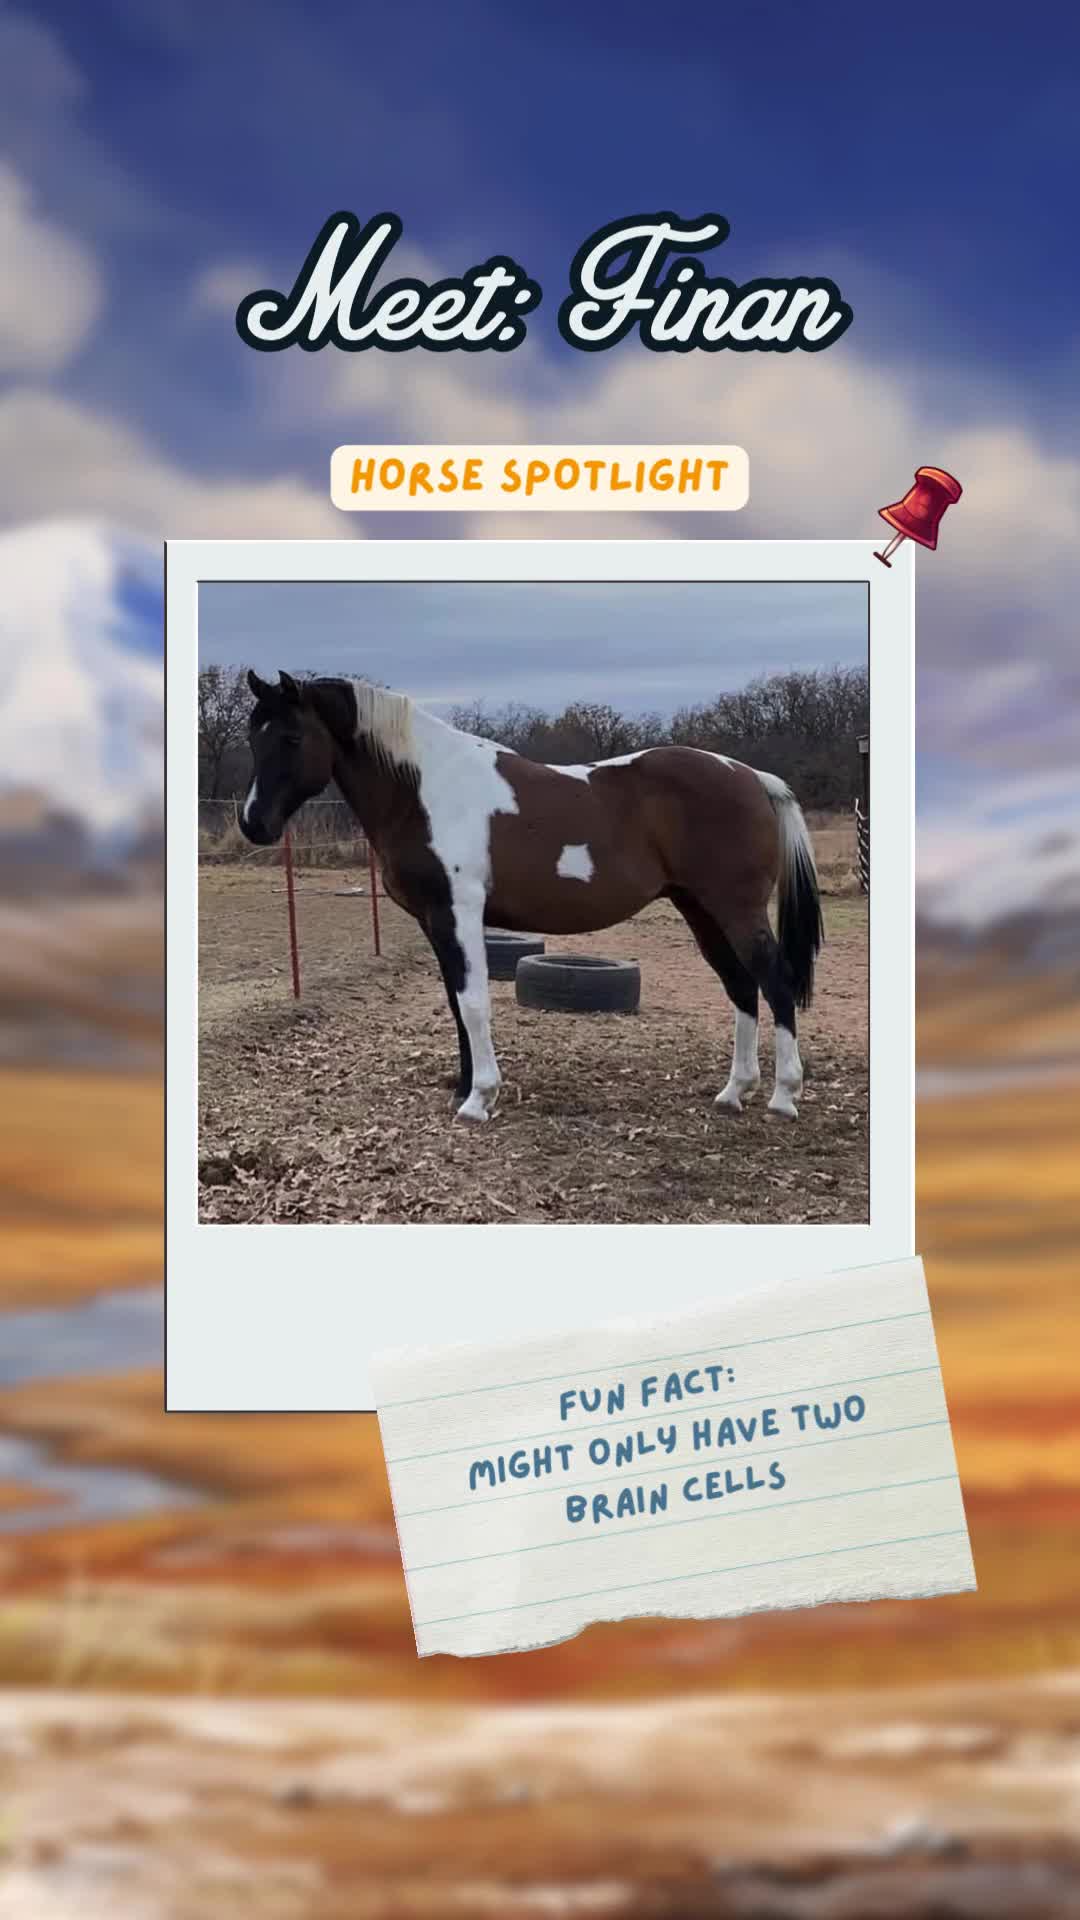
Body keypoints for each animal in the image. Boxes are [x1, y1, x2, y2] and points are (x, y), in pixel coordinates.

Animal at [239, 671, 823, 1124]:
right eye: (252, 739)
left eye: (291, 737)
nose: (253, 824)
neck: (426, 791)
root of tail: (751, 776)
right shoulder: (435, 920)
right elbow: (455, 1002)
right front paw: (463, 1085)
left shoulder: (459, 913)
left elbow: (474, 1002)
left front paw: (479, 1099)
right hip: (700, 909)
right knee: (741, 986)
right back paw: (733, 1092)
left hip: (736, 909)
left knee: (775, 981)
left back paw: (783, 1096)